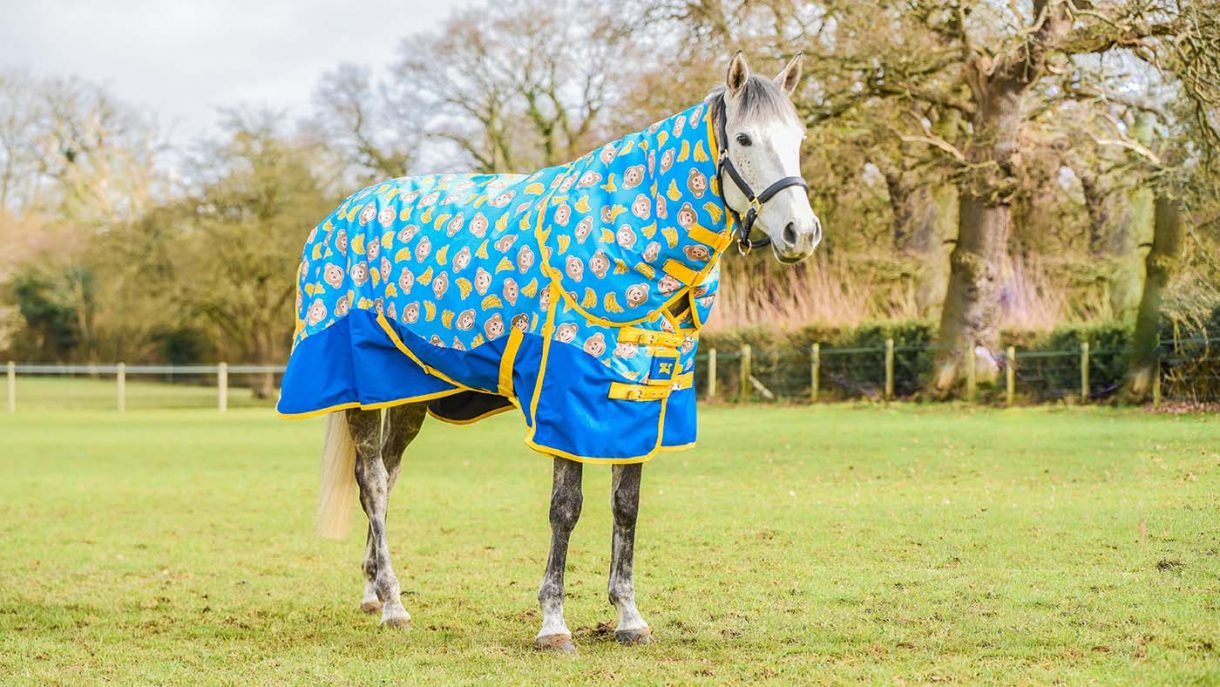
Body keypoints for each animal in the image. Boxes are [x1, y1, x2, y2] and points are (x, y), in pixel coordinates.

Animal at [277, 52, 821, 652]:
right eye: (744, 138)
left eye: (798, 137)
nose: (801, 233)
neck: (629, 249)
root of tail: (336, 217)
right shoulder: (566, 400)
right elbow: (566, 509)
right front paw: (553, 624)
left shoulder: (636, 401)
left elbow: (626, 507)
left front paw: (629, 617)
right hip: (360, 390)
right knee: (373, 483)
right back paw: (393, 604)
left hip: (408, 394)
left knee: (385, 476)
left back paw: (373, 590)